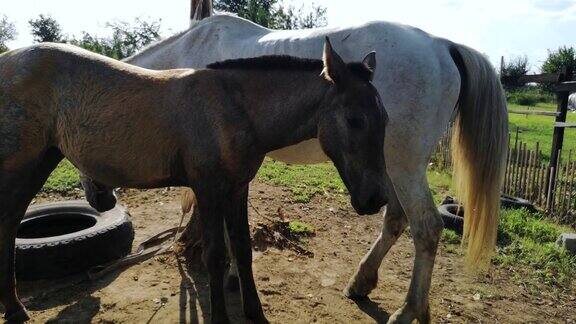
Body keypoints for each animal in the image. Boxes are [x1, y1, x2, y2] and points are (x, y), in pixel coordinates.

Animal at [119, 4, 506, 322]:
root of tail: (443, 45)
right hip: (398, 169)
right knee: (396, 220)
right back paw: (369, 285)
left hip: (404, 167)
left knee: (427, 227)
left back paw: (407, 310)